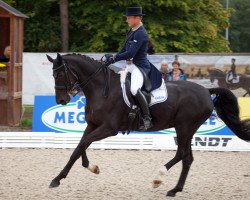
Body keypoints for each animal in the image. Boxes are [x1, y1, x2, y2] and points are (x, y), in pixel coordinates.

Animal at [47, 53, 250, 197]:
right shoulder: (92, 125)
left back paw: (158, 178)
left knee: (181, 154)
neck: (101, 89)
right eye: (53, 75)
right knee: (187, 158)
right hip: (187, 129)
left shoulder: (109, 129)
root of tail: (207, 91)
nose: (61, 100)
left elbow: (82, 144)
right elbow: (80, 147)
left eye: (60, 73)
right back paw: (175, 190)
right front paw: (88, 168)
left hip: (184, 127)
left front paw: (57, 179)